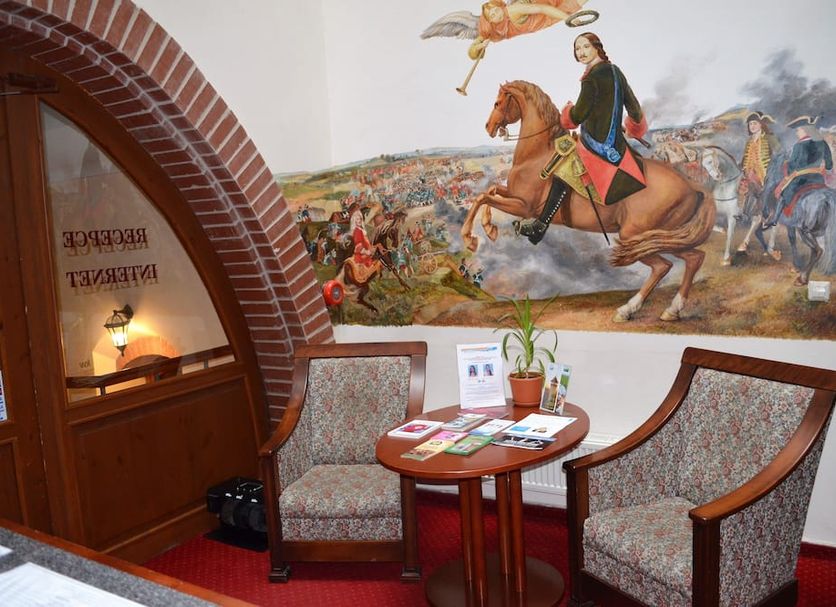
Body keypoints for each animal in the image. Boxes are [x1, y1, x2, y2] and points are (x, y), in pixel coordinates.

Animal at [462, 81, 716, 322]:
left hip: (636, 236)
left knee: (663, 266)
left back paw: (627, 310)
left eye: (497, 103)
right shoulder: (513, 194)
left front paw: (472, 237)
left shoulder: (524, 205)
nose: (488, 127)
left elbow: (482, 197)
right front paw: (489, 227)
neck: (537, 155)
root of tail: (692, 186)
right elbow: (490, 190)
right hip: (663, 237)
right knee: (694, 258)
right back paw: (673, 310)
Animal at [760, 150, 836, 285]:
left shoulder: (790, 225)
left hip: (804, 231)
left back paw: (802, 278)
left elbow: (792, 240)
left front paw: (796, 265)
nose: (766, 180)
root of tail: (826, 198)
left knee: (818, 250)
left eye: (771, 167)